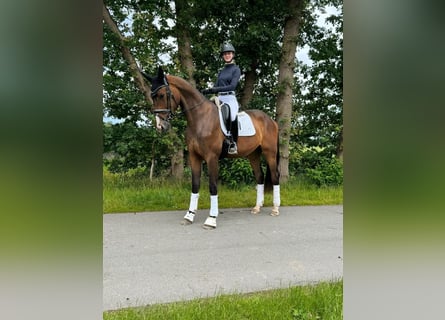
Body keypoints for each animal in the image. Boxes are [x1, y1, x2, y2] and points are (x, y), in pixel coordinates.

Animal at [142, 66, 280, 229]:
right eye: (152, 96)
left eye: (163, 95)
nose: (160, 126)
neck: (199, 118)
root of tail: (271, 120)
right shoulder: (194, 157)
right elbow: (195, 185)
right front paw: (189, 216)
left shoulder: (211, 158)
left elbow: (213, 186)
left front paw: (211, 219)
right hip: (253, 154)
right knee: (259, 176)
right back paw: (257, 207)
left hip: (269, 152)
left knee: (275, 176)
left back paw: (275, 209)